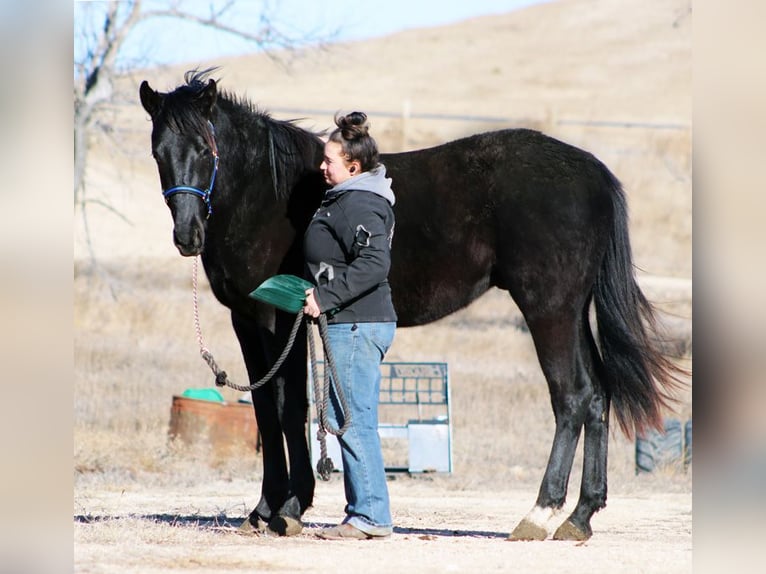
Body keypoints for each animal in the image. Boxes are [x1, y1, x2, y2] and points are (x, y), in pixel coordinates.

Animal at [139, 69, 683, 541]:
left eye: (205, 148)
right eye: (159, 152)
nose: (188, 236)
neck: (267, 194)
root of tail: (593, 173)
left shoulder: (282, 318)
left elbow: (287, 407)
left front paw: (289, 508)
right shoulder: (247, 321)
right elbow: (265, 411)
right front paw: (263, 509)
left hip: (550, 309)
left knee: (571, 397)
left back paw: (539, 514)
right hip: (572, 312)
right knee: (597, 396)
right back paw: (580, 516)